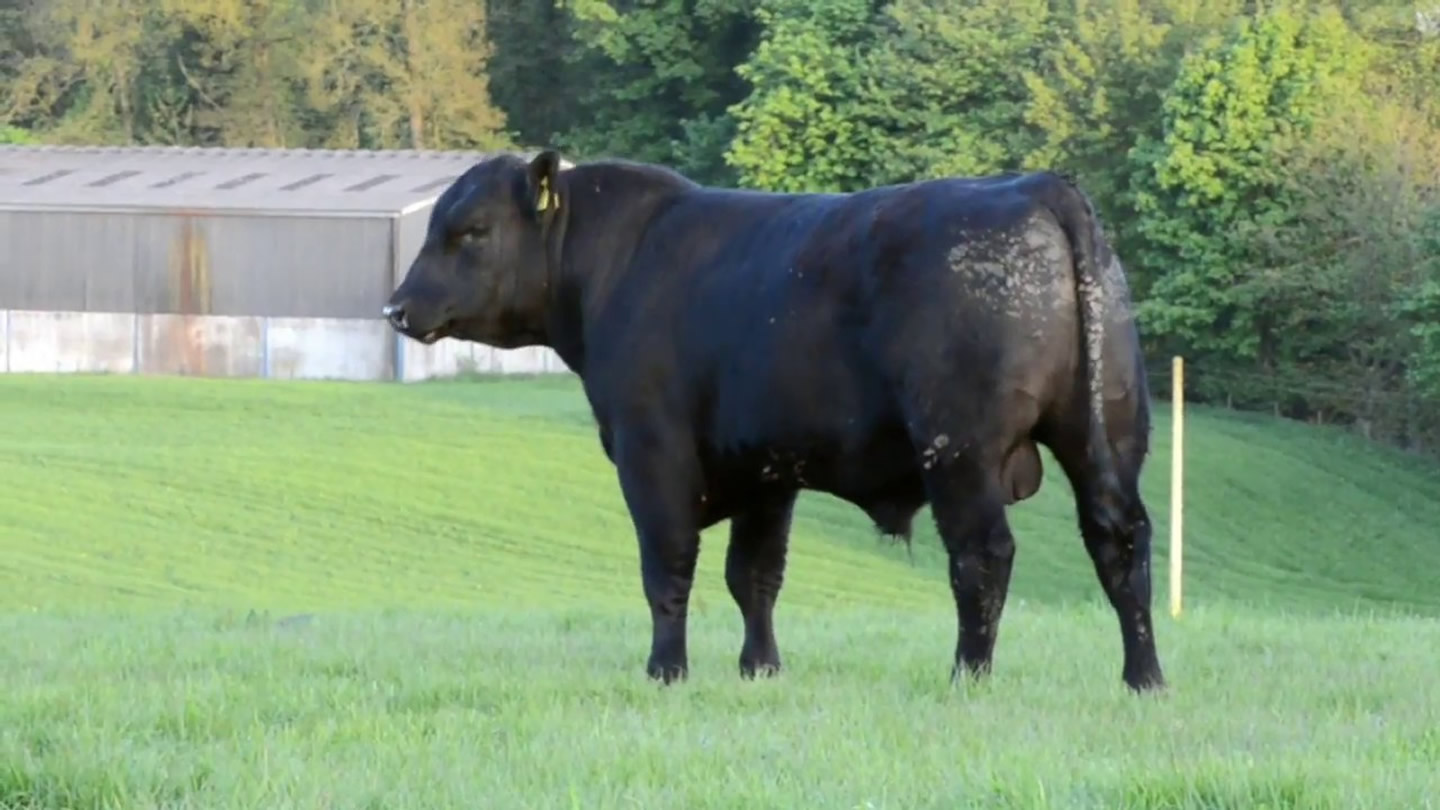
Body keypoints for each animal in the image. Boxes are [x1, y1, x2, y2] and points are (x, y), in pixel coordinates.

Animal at [383, 149, 1166, 693]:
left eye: (471, 231)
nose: (396, 307)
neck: (618, 265)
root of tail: (1034, 185)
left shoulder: (651, 450)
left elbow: (667, 566)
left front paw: (666, 671)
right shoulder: (766, 468)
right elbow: (754, 575)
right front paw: (760, 668)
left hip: (961, 451)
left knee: (983, 557)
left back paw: (968, 676)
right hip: (1106, 434)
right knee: (1119, 541)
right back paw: (1144, 678)